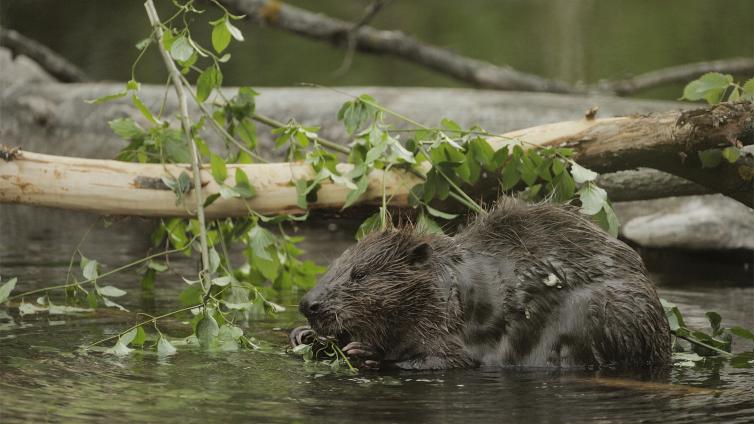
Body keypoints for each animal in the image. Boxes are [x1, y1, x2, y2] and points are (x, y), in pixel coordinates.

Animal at [290, 198, 668, 368]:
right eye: (335, 265)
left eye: (360, 275)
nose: (308, 304)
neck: (451, 286)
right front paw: (304, 335)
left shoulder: (455, 324)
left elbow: (450, 359)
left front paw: (365, 351)